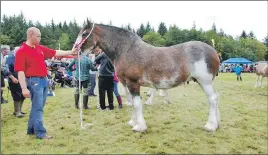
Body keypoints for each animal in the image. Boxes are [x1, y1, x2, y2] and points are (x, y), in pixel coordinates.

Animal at [75, 19, 220, 132]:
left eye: (85, 34)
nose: (75, 50)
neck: (127, 50)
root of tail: (213, 51)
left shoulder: (133, 83)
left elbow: (137, 104)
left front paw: (140, 127)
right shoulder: (127, 84)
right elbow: (133, 103)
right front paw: (133, 122)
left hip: (204, 82)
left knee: (212, 99)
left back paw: (210, 126)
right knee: (216, 97)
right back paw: (217, 124)